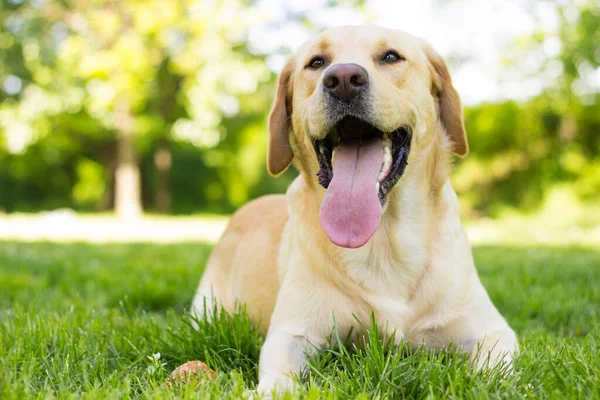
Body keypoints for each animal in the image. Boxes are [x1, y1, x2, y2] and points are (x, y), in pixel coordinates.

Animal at [191, 24, 516, 394]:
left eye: (391, 56)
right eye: (317, 62)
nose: (344, 78)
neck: (383, 239)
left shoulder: (493, 331)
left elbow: (493, 373)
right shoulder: (292, 331)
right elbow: (280, 375)